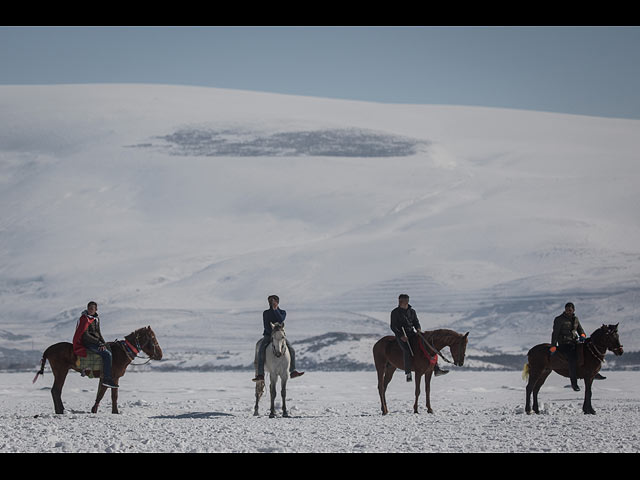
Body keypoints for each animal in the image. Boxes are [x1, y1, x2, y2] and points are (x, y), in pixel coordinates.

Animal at [32, 328, 164, 414]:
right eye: (152, 337)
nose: (160, 355)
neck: (121, 352)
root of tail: (49, 349)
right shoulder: (112, 378)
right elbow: (110, 395)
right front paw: (113, 411)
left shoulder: (105, 378)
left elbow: (101, 393)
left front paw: (96, 409)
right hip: (61, 371)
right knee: (56, 390)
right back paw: (61, 411)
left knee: (55, 390)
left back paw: (61, 410)